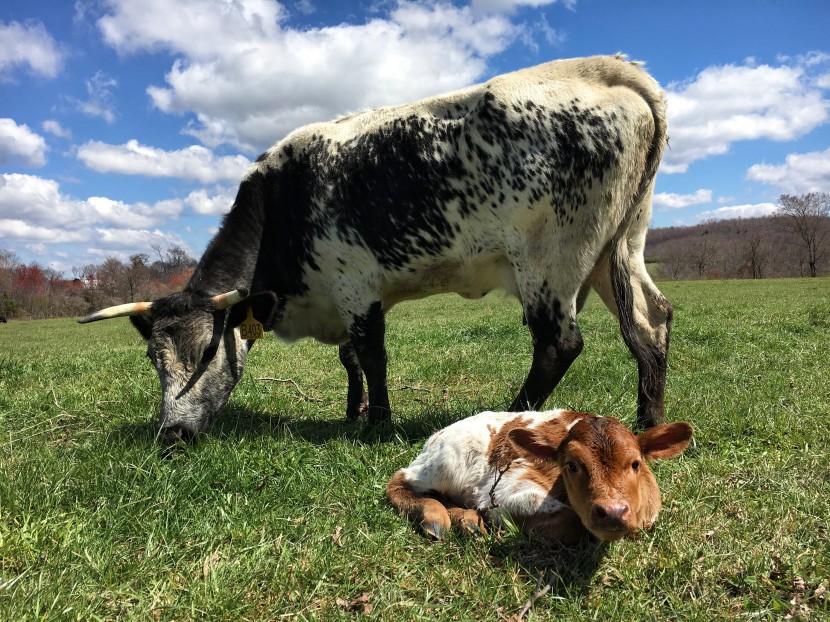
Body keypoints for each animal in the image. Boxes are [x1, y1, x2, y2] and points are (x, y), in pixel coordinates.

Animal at [79, 53, 676, 444]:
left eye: (207, 351)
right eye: (153, 358)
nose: (172, 433)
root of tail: (607, 70)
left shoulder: (354, 285)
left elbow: (371, 355)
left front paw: (378, 422)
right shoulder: (349, 296)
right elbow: (350, 358)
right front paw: (354, 410)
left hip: (551, 259)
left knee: (559, 343)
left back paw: (510, 418)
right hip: (618, 248)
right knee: (651, 321)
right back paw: (649, 421)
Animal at [390, 412, 696, 544]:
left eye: (635, 464)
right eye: (571, 465)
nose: (613, 512)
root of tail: (436, 435)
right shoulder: (505, 487)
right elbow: (569, 520)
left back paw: (469, 522)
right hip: (445, 462)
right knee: (399, 482)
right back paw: (436, 519)